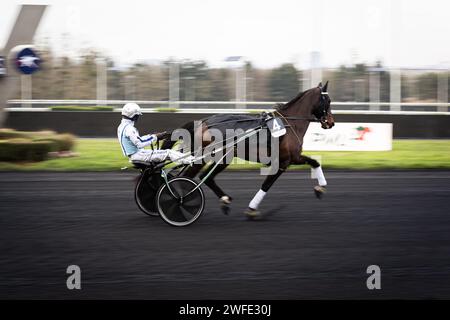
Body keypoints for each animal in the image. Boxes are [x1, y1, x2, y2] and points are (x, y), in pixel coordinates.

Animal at [162, 81, 334, 219]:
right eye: (328, 101)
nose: (331, 122)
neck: (290, 125)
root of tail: (205, 121)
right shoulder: (285, 161)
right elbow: (267, 184)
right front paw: (252, 209)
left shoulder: (292, 158)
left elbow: (314, 162)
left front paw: (320, 187)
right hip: (217, 156)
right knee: (194, 177)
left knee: (201, 177)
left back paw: (221, 201)